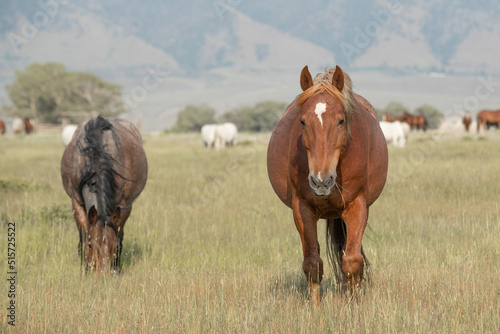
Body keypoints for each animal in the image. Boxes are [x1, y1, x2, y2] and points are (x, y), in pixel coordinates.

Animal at [61, 116, 147, 272]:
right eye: (91, 245)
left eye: (112, 246)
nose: (101, 274)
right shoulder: (77, 203)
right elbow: (83, 236)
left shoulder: (124, 207)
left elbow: (119, 236)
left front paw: (116, 267)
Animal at [268, 66, 388, 304]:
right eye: (302, 121)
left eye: (341, 120)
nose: (321, 180)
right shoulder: (302, 209)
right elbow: (312, 264)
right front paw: (316, 308)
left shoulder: (357, 206)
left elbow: (352, 261)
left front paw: (354, 305)